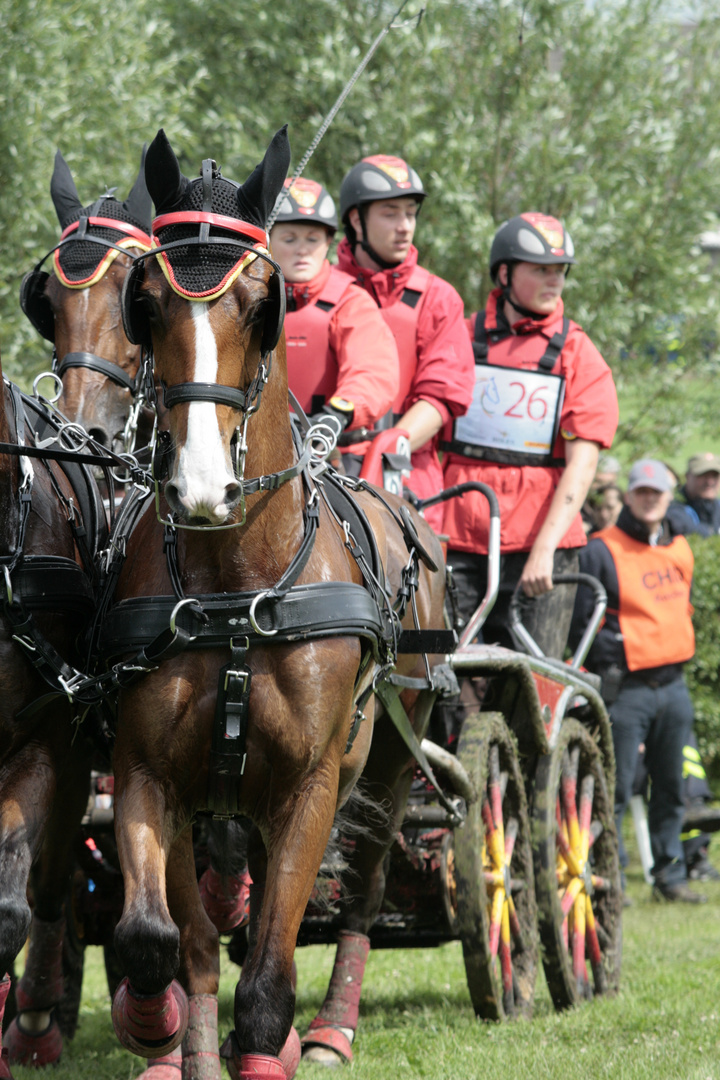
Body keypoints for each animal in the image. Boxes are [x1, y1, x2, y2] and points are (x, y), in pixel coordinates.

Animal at [102, 128, 444, 1080]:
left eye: (264, 304)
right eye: (147, 302)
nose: (201, 487)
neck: (237, 591)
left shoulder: (309, 788)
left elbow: (265, 985)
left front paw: (270, 1042)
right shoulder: (149, 774)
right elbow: (161, 941)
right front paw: (157, 1030)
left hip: (390, 763)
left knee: (360, 894)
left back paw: (329, 1030)